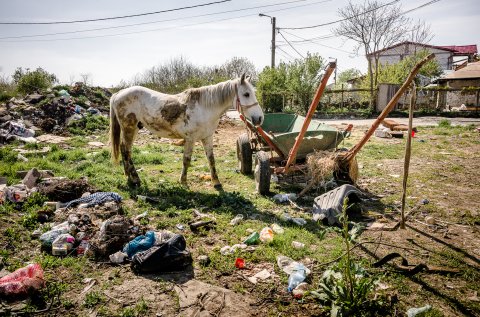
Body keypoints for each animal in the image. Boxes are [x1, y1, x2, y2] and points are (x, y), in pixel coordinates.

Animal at [109, 73, 262, 188]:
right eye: (246, 94)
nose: (259, 118)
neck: (204, 108)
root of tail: (118, 93)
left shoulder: (207, 137)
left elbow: (211, 159)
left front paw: (216, 182)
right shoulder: (190, 139)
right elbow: (186, 160)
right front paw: (183, 181)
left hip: (134, 128)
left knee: (125, 149)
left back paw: (129, 176)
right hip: (129, 128)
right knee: (126, 150)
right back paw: (135, 179)